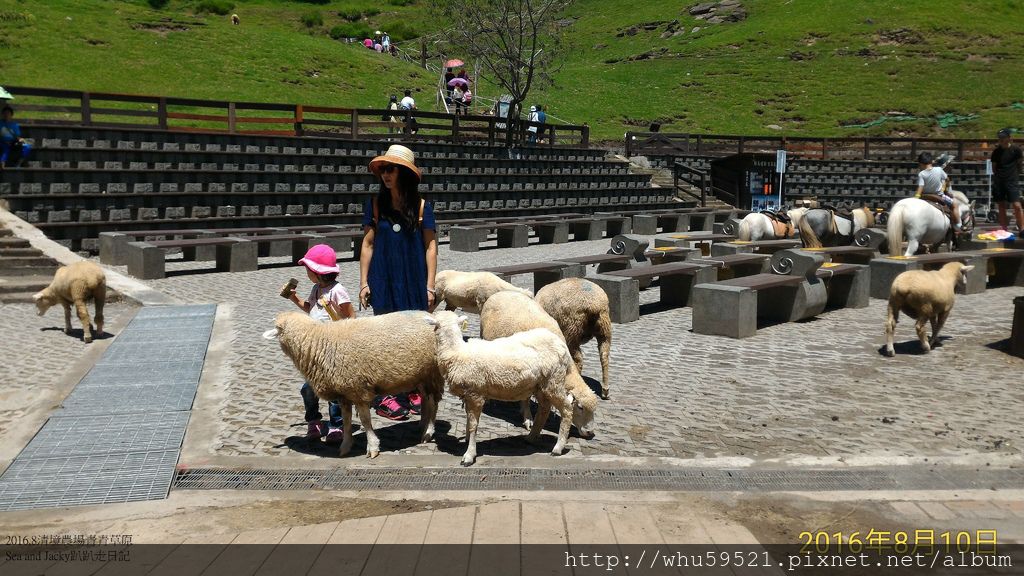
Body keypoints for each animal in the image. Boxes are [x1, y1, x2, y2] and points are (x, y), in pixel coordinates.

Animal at [272, 309, 444, 457]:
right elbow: (347, 420)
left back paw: (428, 432)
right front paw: (345, 446)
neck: (320, 341)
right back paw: (422, 424)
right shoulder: (344, 394)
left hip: (432, 373)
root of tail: (431, 315)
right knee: (426, 400)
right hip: (421, 375)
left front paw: (372, 447)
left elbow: (365, 420)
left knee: (433, 404)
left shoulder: (358, 390)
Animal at [425, 307, 585, 463]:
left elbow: (473, 425)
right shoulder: (468, 395)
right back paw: (531, 437)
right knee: (544, 409)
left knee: (567, 409)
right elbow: (468, 421)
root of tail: (561, 345)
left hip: (554, 381)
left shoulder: (475, 394)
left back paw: (557, 447)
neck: (457, 352)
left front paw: (469, 455)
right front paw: (467, 440)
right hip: (541, 386)